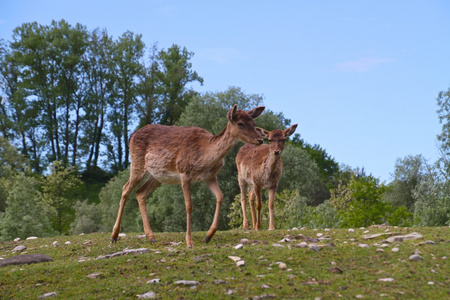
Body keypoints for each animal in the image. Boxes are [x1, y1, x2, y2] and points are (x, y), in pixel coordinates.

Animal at [111, 104, 266, 247]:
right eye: (240, 123)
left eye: (254, 123)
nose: (260, 140)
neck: (204, 156)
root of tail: (131, 136)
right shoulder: (184, 172)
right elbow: (189, 205)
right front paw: (189, 242)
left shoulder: (209, 177)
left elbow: (220, 197)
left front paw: (208, 236)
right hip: (137, 163)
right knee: (125, 189)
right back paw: (114, 236)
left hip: (157, 176)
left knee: (140, 193)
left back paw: (151, 237)